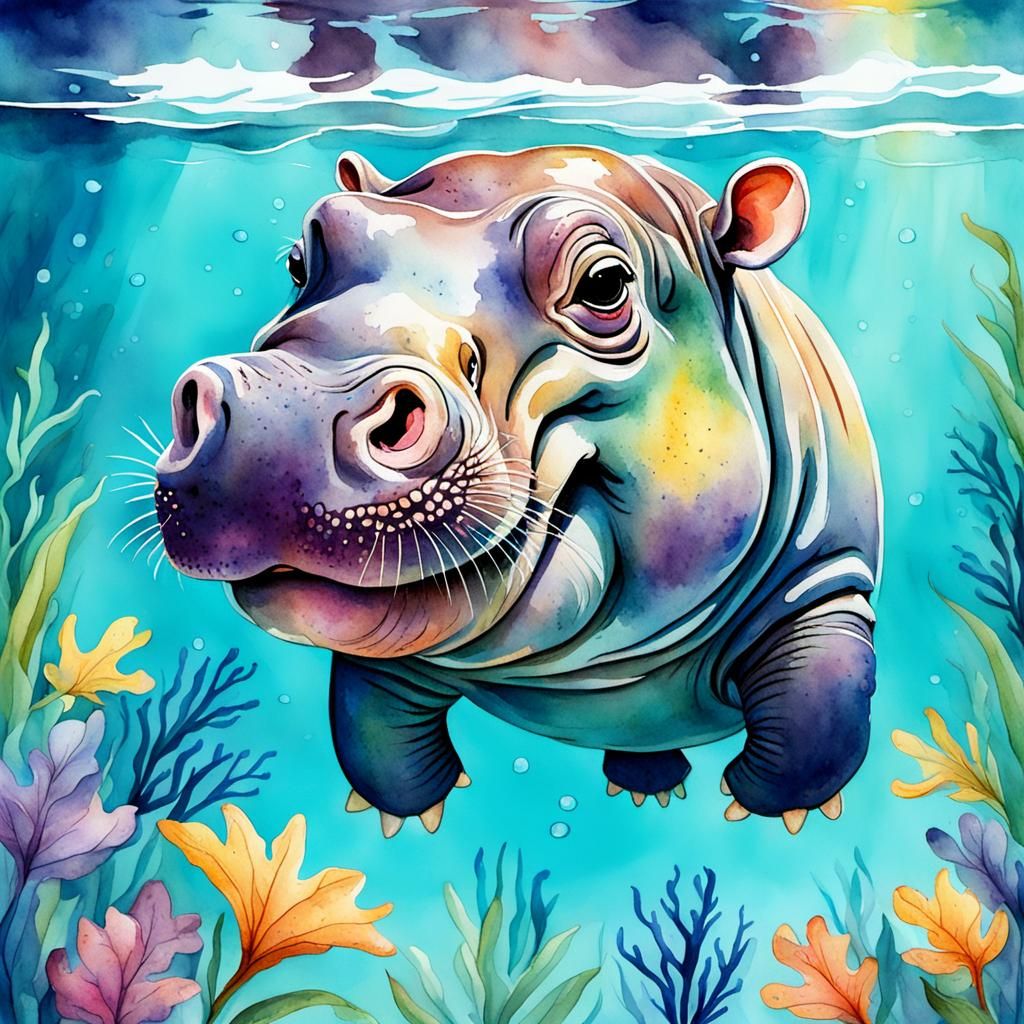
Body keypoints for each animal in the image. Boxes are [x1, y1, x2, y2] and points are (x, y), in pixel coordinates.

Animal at [154, 146, 881, 838]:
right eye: (302, 259)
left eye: (605, 284)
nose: (285, 412)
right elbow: (373, 728)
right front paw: (411, 814)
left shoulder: (826, 578)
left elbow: (819, 712)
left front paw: (765, 806)